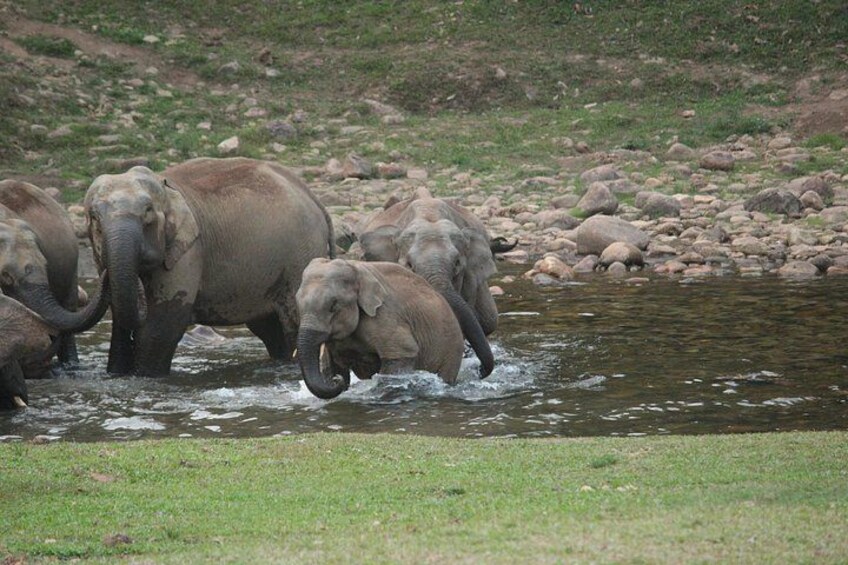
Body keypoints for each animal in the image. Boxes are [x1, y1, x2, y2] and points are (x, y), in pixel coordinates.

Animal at [84, 157, 335, 376]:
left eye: (147, 212)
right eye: (94, 217)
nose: (105, 276)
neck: (166, 186)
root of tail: (314, 198)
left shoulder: (189, 251)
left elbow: (162, 326)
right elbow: (120, 320)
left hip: (300, 256)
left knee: (291, 325)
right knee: (271, 330)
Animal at [296, 258, 465, 399]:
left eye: (333, 305)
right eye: (297, 302)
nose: (337, 381)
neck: (355, 268)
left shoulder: (384, 316)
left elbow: (402, 353)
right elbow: (334, 363)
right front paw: (338, 378)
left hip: (451, 349)